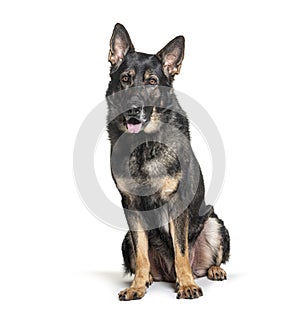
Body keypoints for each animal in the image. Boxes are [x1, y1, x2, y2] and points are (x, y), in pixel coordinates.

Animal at [105, 22, 230, 302]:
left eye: (152, 82)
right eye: (125, 79)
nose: (133, 108)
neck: (143, 143)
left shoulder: (177, 203)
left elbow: (180, 250)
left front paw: (187, 285)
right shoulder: (131, 205)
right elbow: (141, 255)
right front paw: (137, 287)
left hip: (214, 223)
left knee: (211, 260)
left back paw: (211, 271)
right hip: (126, 238)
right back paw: (149, 278)